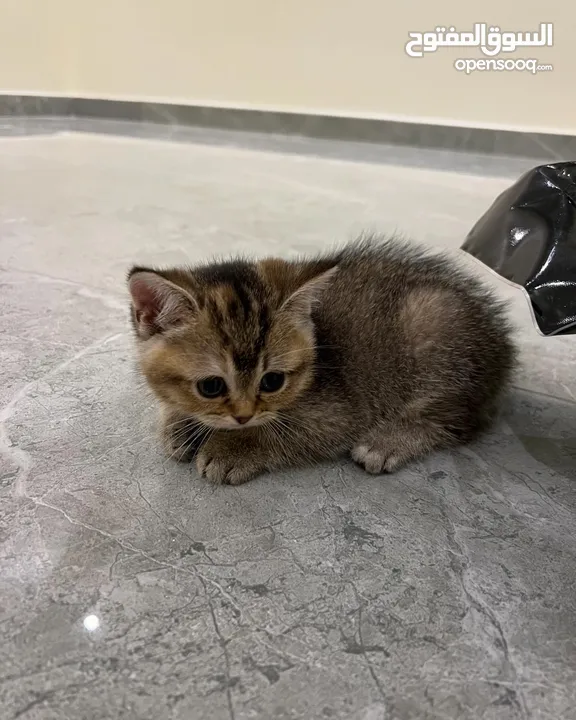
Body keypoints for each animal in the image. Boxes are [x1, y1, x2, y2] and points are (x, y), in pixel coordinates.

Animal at [128, 235, 516, 484]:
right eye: (211, 386)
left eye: (272, 381)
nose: (243, 416)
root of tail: (503, 342)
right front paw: (180, 424)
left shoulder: (342, 411)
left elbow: (285, 431)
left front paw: (233, 448)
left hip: (436, 329)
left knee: (457, 421)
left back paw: (388, 442)